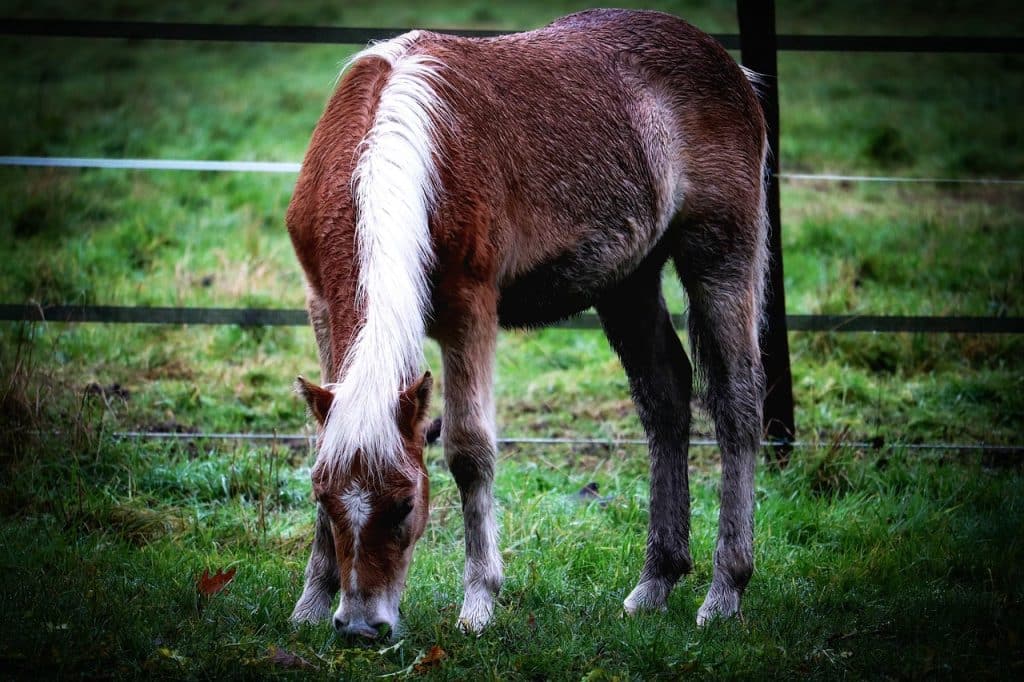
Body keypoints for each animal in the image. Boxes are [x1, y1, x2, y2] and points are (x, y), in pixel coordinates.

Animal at [284, 9, 765, 638]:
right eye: (324, 499)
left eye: (407, 503)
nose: (364, 627)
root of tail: (732, 67)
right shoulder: (320, 304)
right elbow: (325, 438)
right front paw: (313, 601)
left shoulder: (470, 309)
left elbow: (469, 450)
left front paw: (478, 603)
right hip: (627, 282)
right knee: (665, 395)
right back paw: (655, 582)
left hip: (720, 257)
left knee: (736, 405)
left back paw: (724, 591)